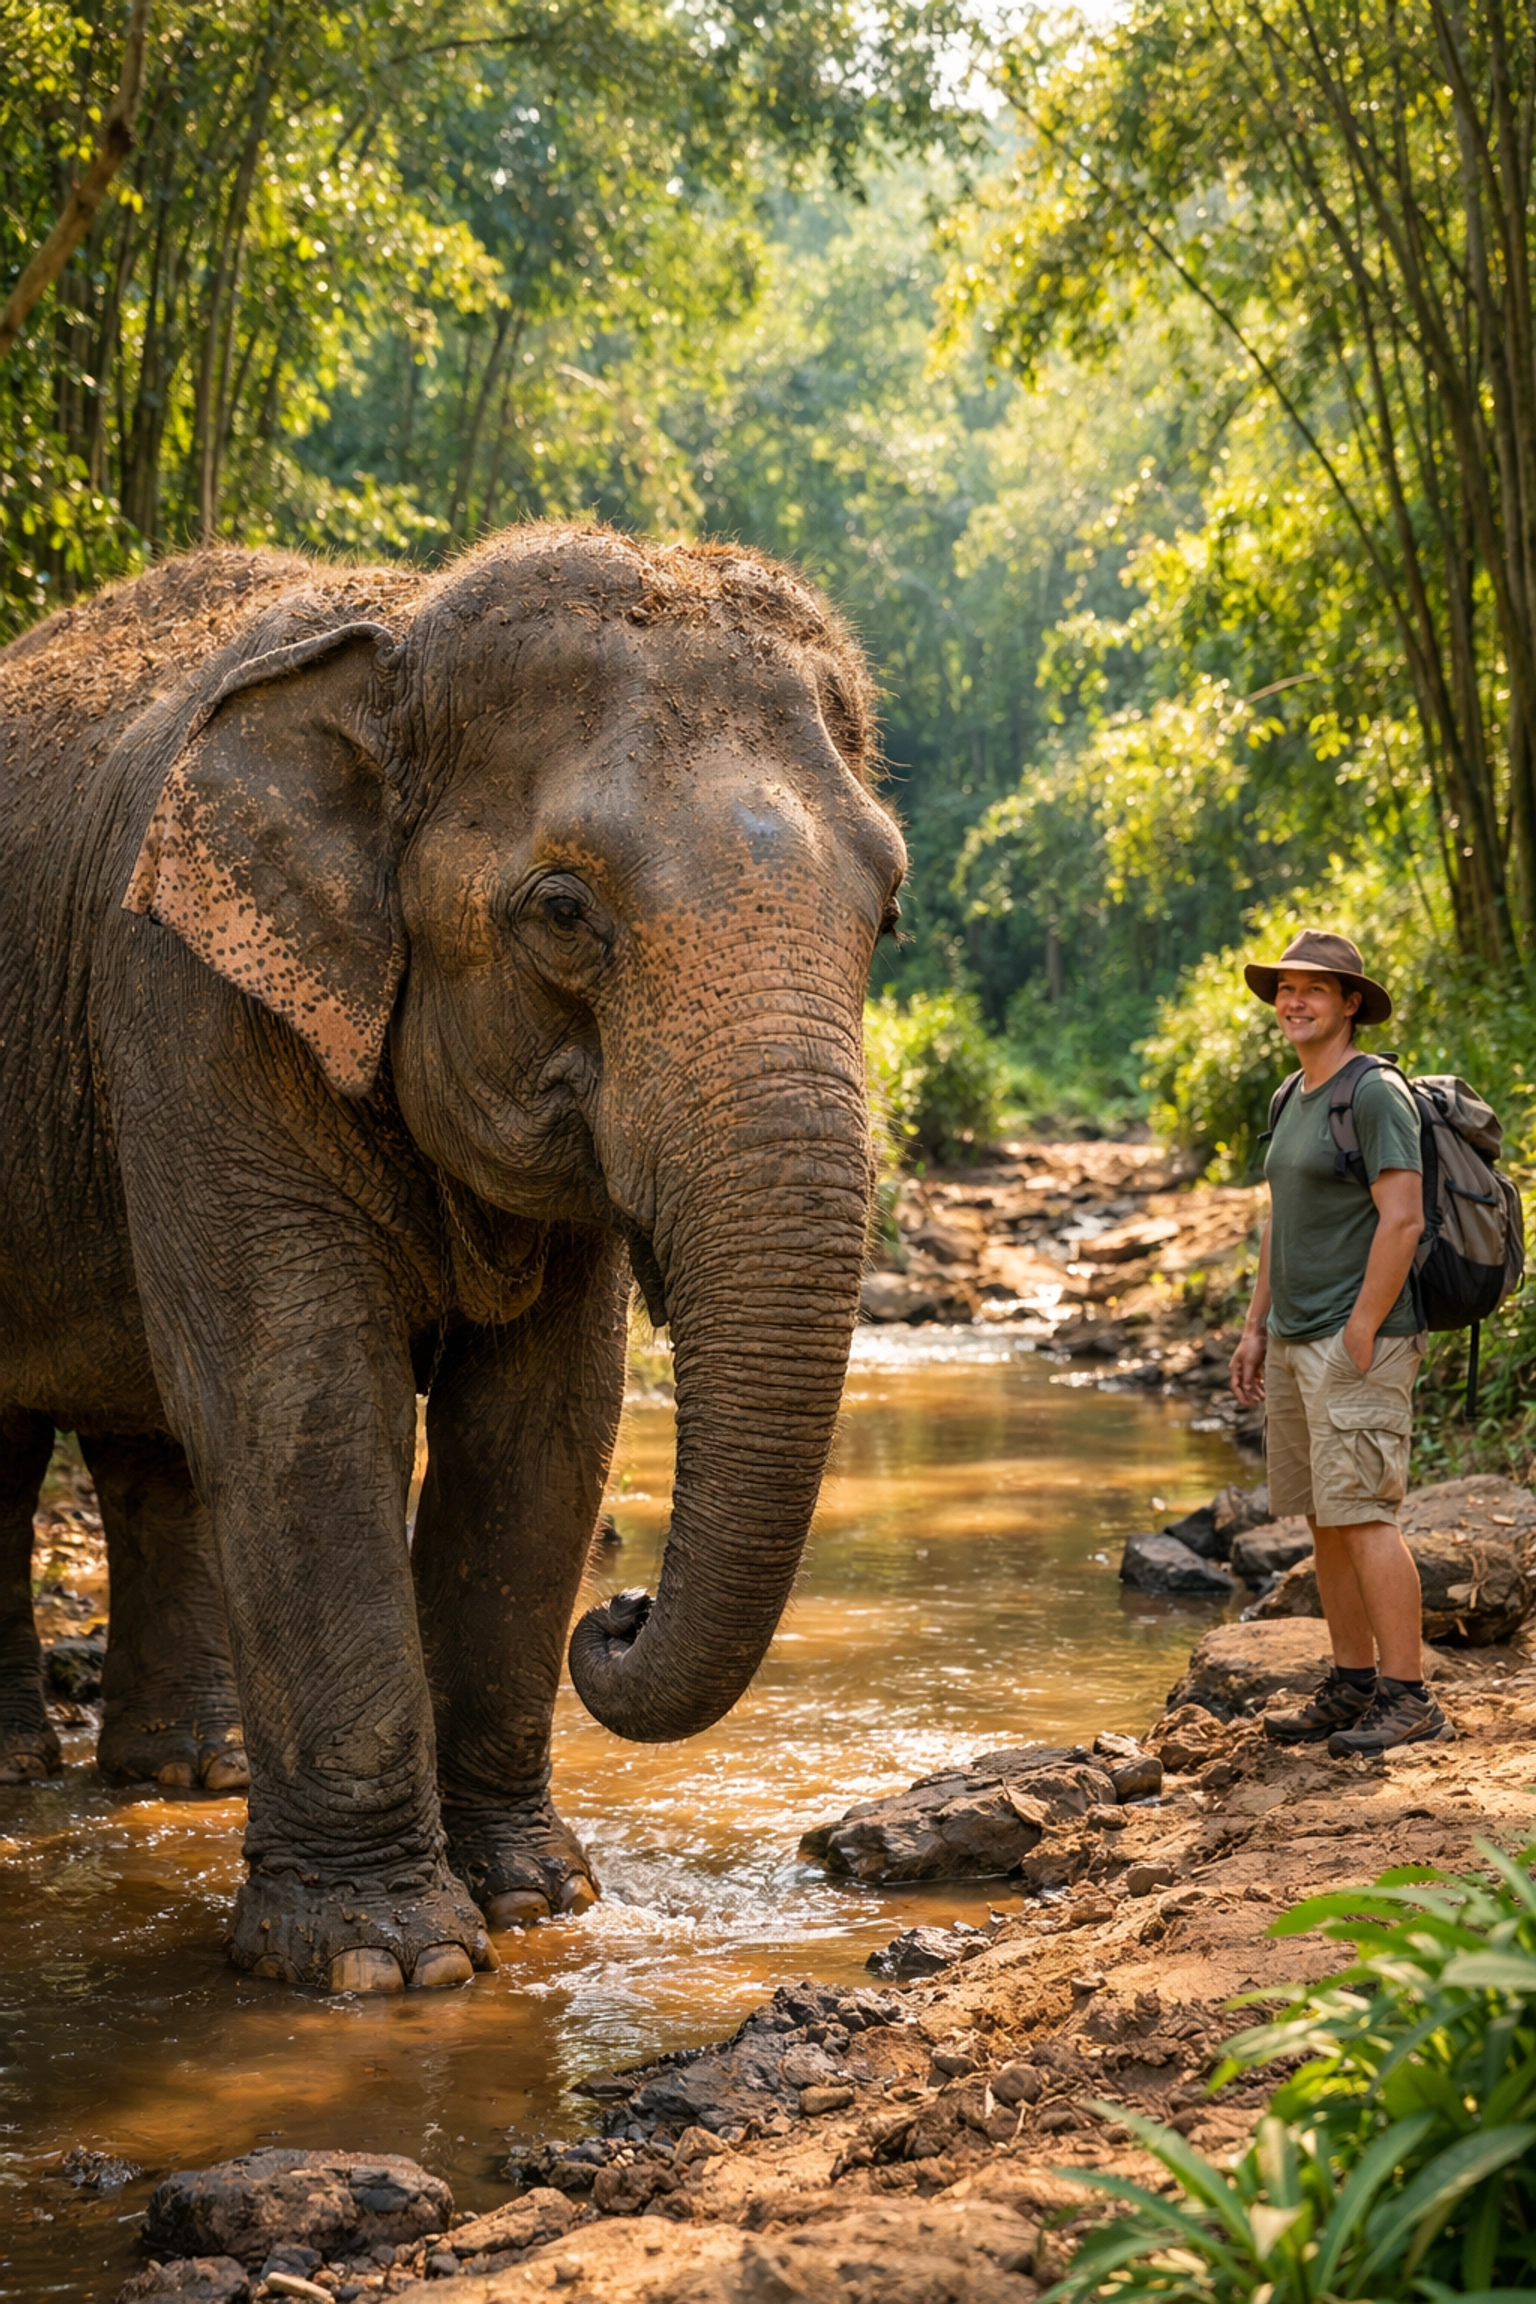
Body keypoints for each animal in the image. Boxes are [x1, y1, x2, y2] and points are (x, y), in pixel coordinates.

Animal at [0, 527, 904, 1991]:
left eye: (886, 913)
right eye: (563, 910)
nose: (622, 1608)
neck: (406, 629)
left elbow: (543, 1425)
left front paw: (539, 1903)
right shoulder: (189, 997)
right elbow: (300, 1392)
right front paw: (382, 1965)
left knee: (149, 1443)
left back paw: (187, 1775)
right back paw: (35, 1768)